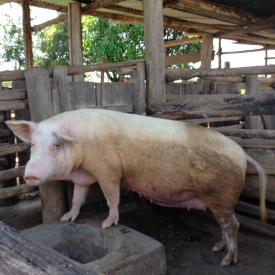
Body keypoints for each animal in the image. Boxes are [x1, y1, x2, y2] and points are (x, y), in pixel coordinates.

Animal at [4, 109, 268, 268]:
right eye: (34, 145)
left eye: (57, 145)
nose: (29, 174)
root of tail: (242, 153)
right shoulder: (83, 178)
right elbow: (78, 198)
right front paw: (66, 218)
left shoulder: (108, 171)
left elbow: (112, 197)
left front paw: (106, 224)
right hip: (219, 199)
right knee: (225, 225)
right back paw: (217, 248)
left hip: (221, 193)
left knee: (233, 225)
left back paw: (226, 261)